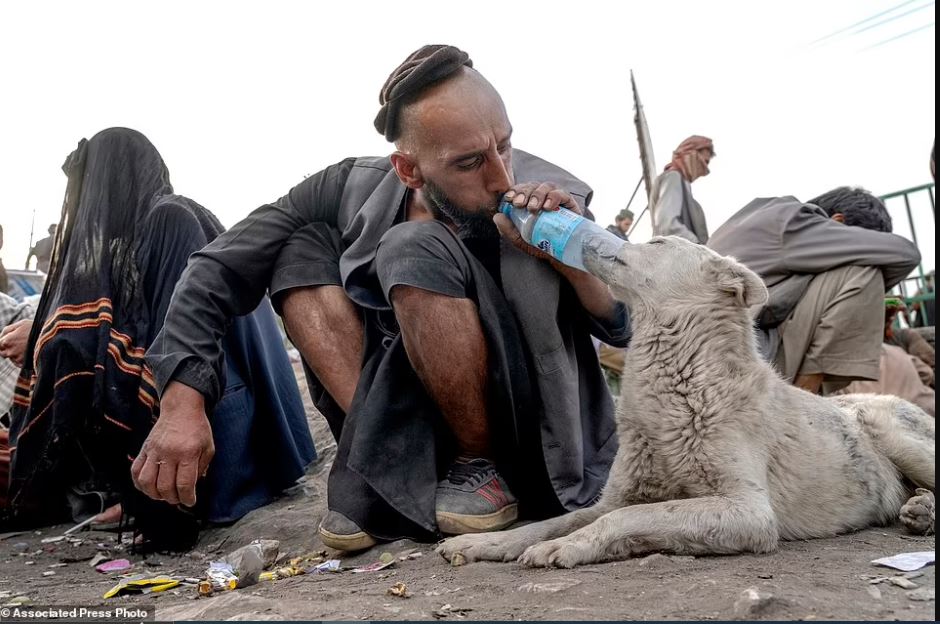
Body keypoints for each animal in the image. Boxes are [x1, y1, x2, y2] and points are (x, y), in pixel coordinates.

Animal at [436, 236, 936, 568]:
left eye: (657, 241)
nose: (592, 235)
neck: (683, 387)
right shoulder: (614, 495)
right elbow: (551, 521)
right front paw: (486, 545)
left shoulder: (748, 511)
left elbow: (634, 515)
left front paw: (569, 546)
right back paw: (919, 510)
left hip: (889, 429)